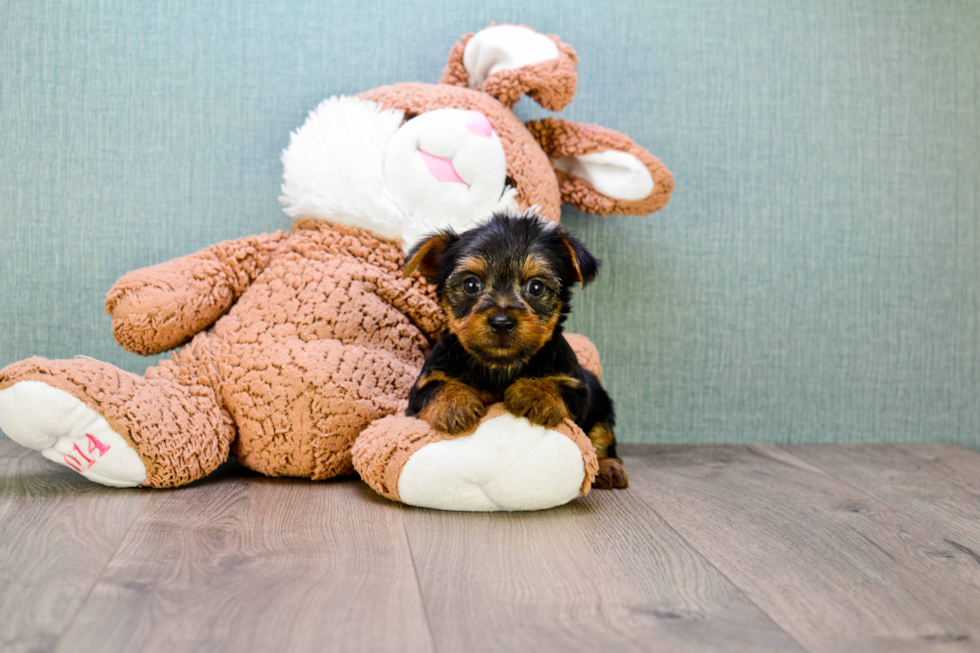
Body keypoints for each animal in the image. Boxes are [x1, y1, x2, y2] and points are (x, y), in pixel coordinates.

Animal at [404, 214, 628, 488]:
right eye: (471, 284)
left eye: (536, 287)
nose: (502, 321)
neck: (501, 365)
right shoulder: (423, 384)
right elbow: (436, 386)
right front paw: (455, 404)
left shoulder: (578, 388)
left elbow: (561, 388)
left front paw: (533, 393)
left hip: (601, 403)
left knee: (602, 435)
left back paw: (608, 468)